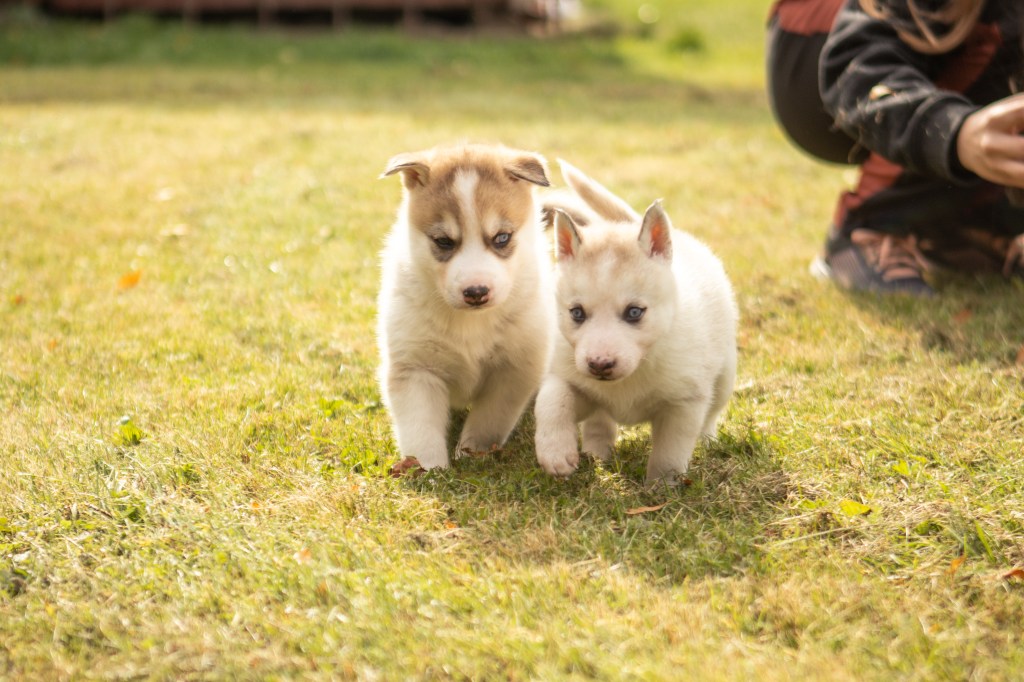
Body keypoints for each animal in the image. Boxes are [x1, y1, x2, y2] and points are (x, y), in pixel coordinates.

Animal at [377, 144, 553, 471]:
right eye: (444, 241)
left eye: (502, 238)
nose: (476, 292)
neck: (471, 322)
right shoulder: (415, 368)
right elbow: (420, 428)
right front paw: (429, 469)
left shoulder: (514, 369)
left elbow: (490, 418)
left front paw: (473, 453)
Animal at [535, 160, 738, 485]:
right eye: (576, 313)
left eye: (634, 312)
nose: (599, 364)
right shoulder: (570, 378)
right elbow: (553, 399)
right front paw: (555, 452)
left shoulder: (684, 403)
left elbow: (670, 451)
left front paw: (661, 486)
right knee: (599, 424)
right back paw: (596, 453)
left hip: (725, 376)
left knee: (712, 414)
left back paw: (708, 442)